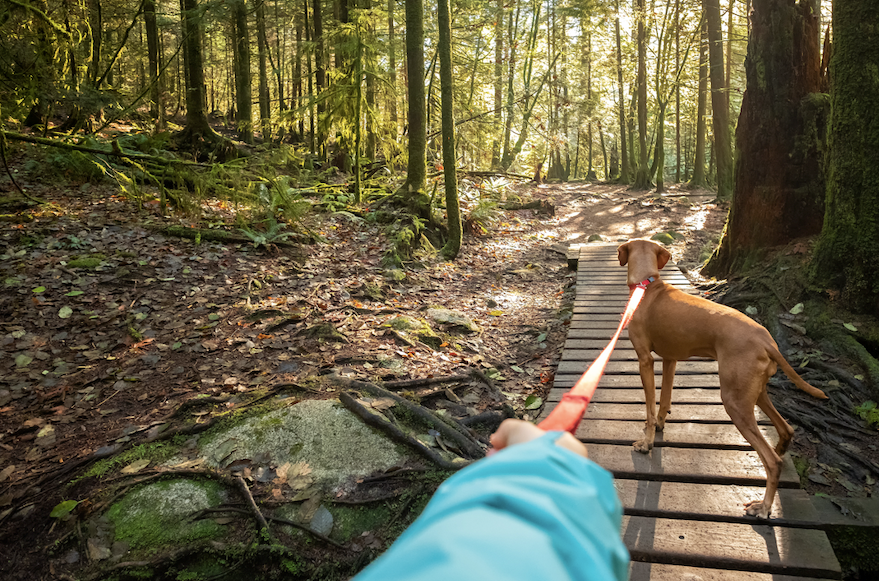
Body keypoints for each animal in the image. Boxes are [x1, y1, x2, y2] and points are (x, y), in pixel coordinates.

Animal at [620, 238, 824, 520]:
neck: (648, 286)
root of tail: (766, 340)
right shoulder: (670, 359)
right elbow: (664, 400)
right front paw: (660, 425)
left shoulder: (645, 361)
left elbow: (650, 406)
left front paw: (646, 443)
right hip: (754, 393)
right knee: (786, 429)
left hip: (734, 402)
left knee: (773, 462)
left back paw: (763, 507)